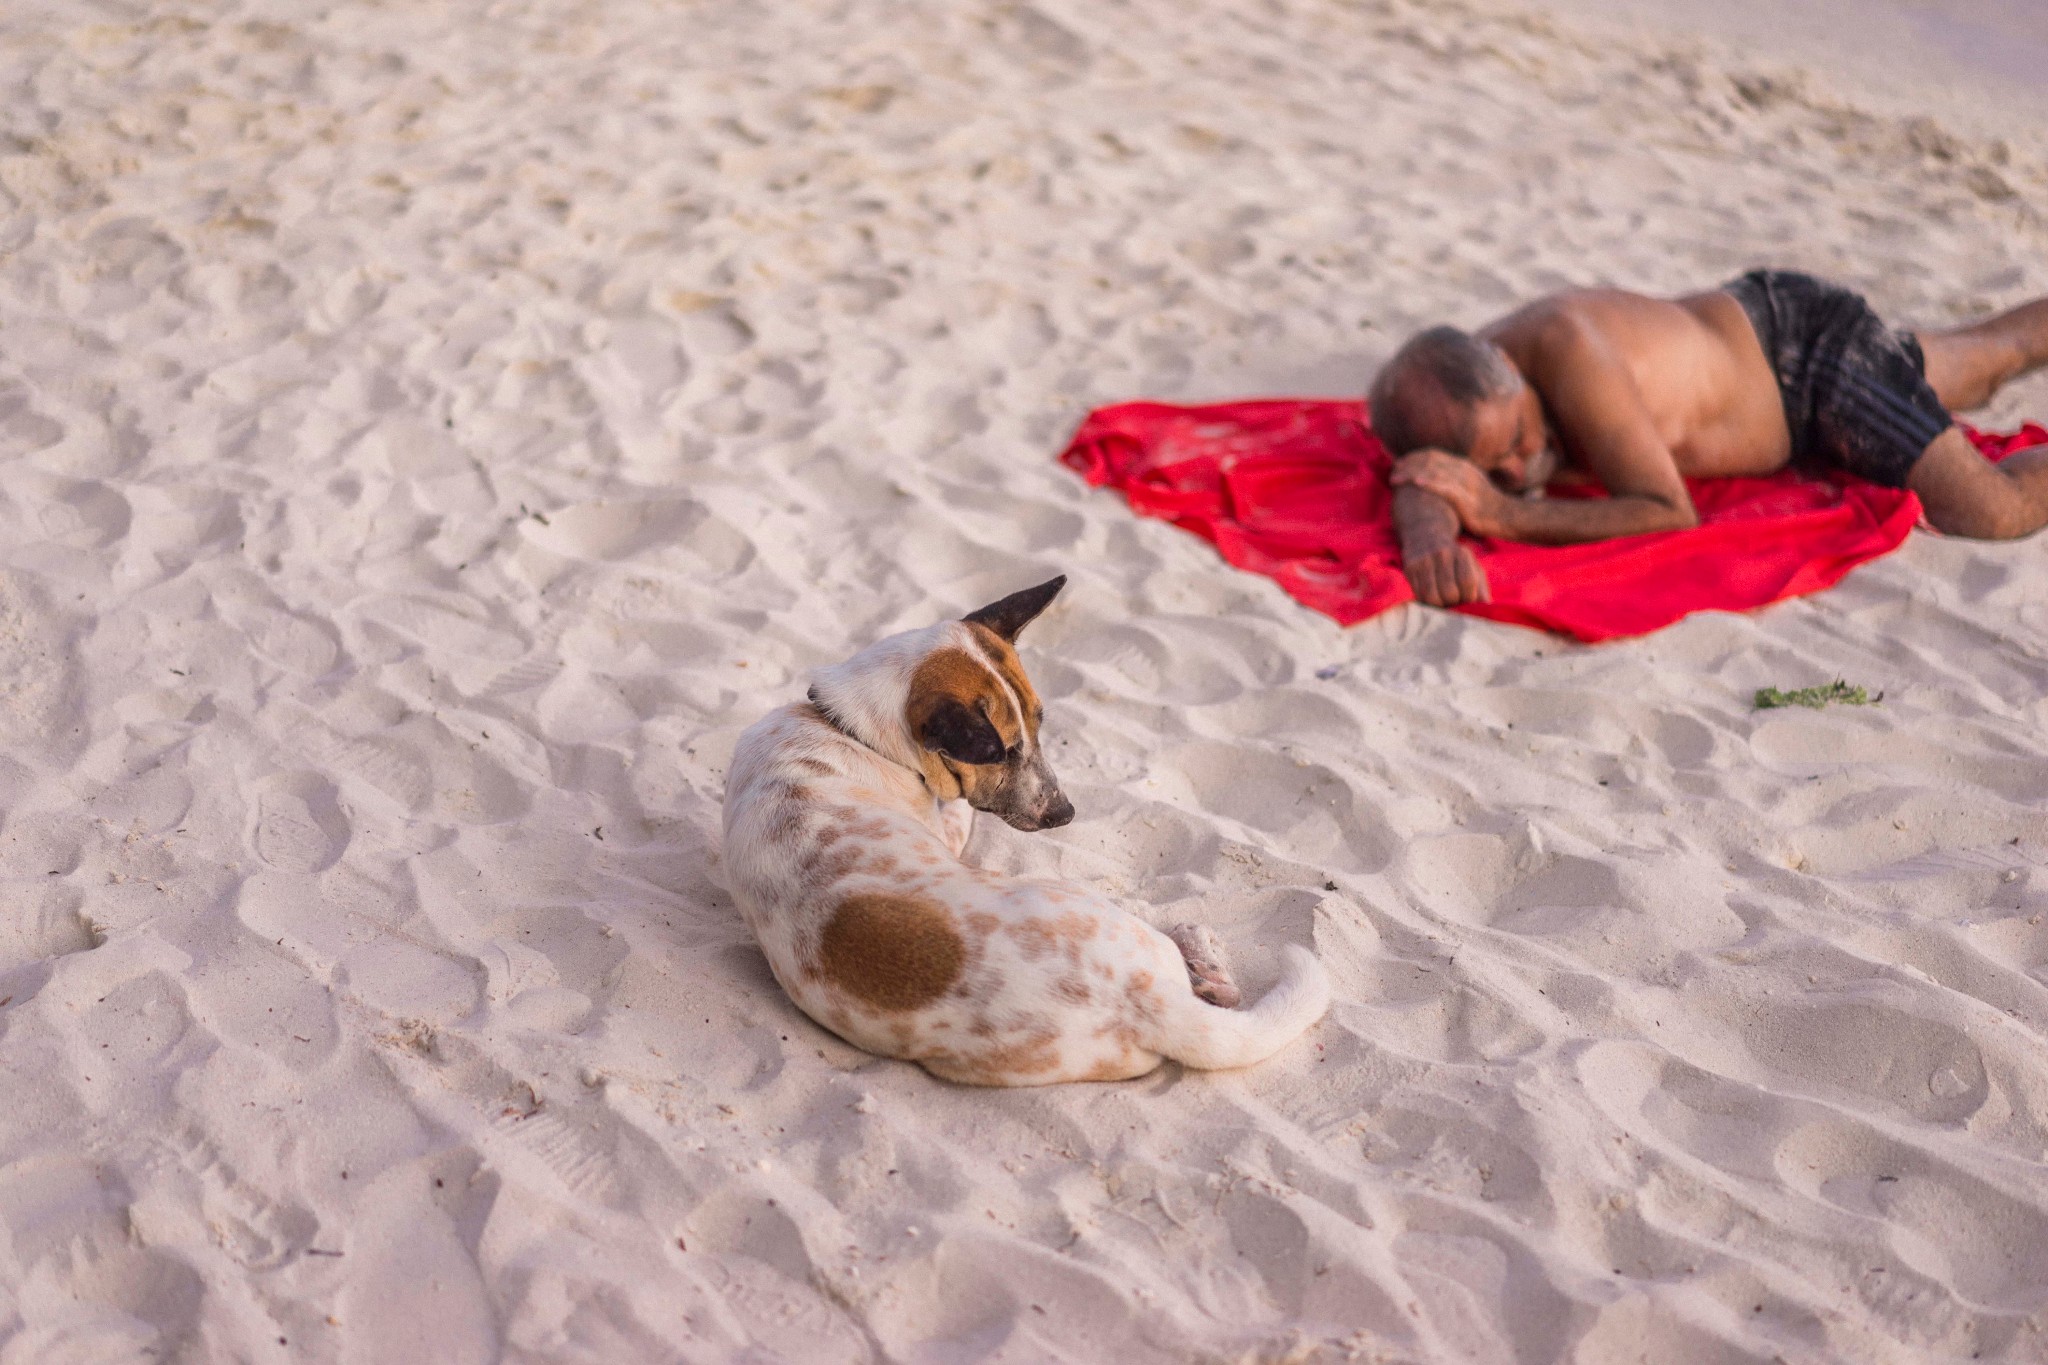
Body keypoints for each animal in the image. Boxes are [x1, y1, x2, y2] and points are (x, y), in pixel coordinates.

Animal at [720, 577, 1327, 1088]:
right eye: (1001, 753)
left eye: (1040, 721)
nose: (1065, 814)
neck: (846, 725)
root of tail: (1148, 1003)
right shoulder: (946, 820)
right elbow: (957, 809)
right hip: (1090, 902)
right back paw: (1202, 952)